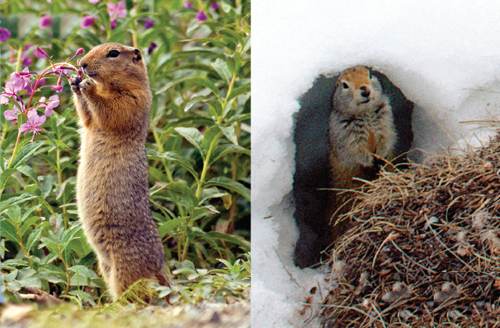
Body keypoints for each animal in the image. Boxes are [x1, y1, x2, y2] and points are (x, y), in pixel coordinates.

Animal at [70, 42, 172, 302]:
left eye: (113, 53)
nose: (82, 64)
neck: (110, 84)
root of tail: (160, 267)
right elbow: (87, 119)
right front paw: (75, 83)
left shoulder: (134, 98)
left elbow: (113, 111)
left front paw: (88, 87)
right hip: (105, 267)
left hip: (124, 270)